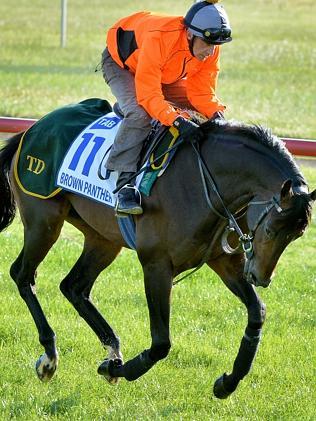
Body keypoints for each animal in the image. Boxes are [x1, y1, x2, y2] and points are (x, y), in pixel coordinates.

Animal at [0, 116, 314, 398]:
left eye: (297, 235)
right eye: (271, 229)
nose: (260, 277)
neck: (205, 184)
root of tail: (31, 129)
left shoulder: (225, 261)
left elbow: (257, 313)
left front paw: (228, 382)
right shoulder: (156, 265)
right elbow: (161, 343)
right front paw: (115, 369)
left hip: (103, 239)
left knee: (74, 286)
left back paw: (112, 347)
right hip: (44, 221)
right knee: (22, 274)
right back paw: (50, 355)